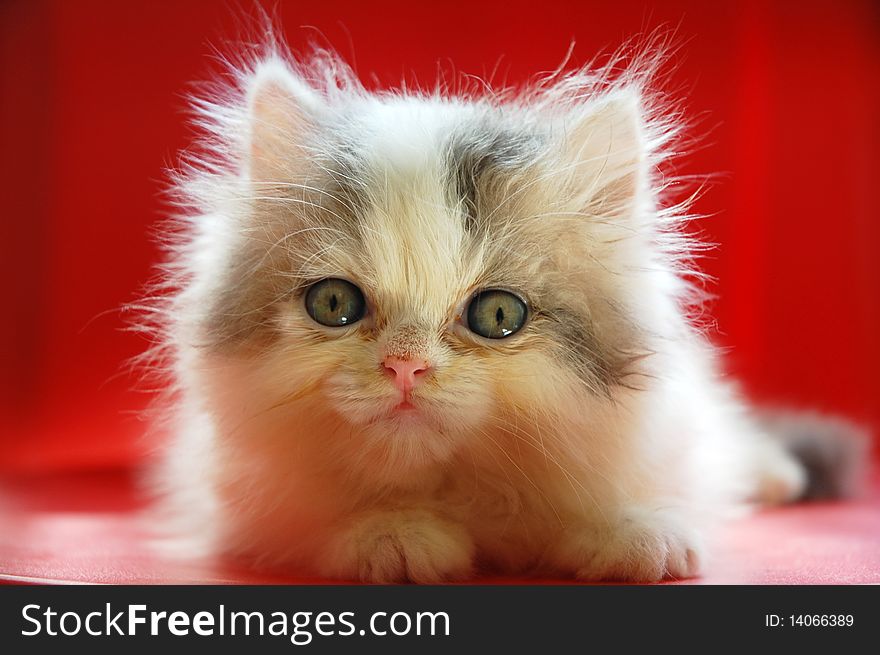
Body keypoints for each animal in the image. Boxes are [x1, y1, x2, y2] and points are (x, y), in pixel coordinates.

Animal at [146, 43, 868, 580]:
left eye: (497, 315)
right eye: (334, 304)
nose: (405, 367)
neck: (468, 487)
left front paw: (635, 533)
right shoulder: (237, 487)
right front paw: (393, 535)